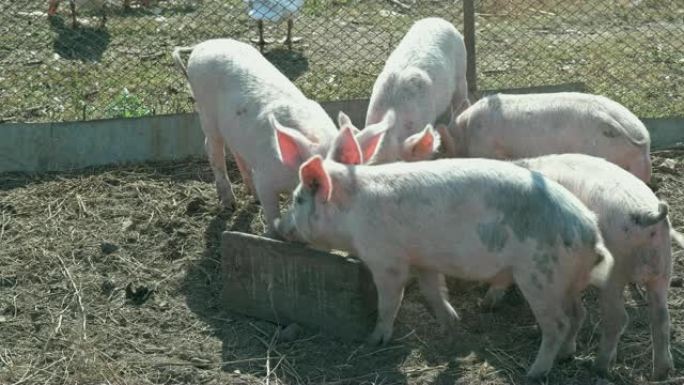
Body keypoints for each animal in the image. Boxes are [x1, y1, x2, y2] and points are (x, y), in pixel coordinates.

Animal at [174, 39, 344, 237]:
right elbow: (271, 212)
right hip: (206, 111)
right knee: (212, 148)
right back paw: (230, 204)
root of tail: (201, 45)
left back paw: (252, 197)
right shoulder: (266, 176)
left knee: (236, 151)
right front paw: (272, 235)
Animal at [276, 127, 616, 378]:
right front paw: (451, 324)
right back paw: (566, 356)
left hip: (539, 276)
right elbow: (433, 291)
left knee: (558, 323)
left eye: (297, 200)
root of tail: (591, 232)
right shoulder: (424, 259)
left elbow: (390, 301)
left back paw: (534, 373)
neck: (352, 214)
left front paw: (374, 339)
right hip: (566, 281)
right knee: (578, 315)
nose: (279, 226)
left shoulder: (386, 260)